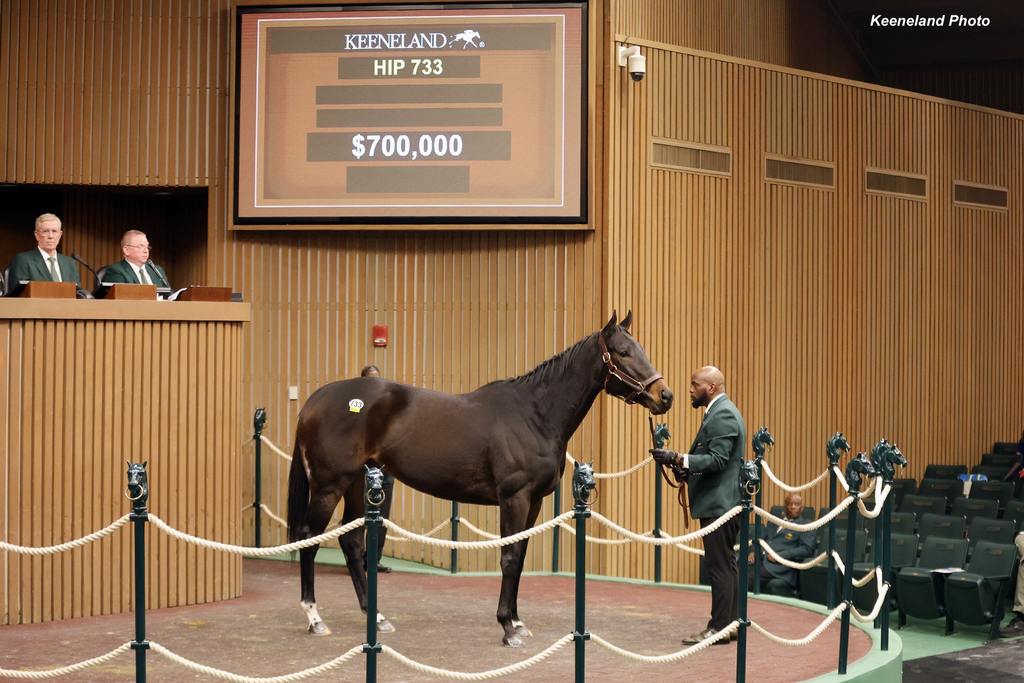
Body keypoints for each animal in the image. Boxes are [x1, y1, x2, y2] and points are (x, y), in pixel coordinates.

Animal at [288, 309, 671, 647]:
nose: (664, 396)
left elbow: (520, 555)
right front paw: (508, 628)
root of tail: (316, 400)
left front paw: (517, 620)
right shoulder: (514, 498)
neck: (534, 414)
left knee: (351, 542)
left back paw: (377, 616)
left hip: (357, 483)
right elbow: (510, 557)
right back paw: (314, 618)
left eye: (641, 349)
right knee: (310, 538)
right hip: (329, 486)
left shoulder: (534, 502)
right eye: (622, 352)